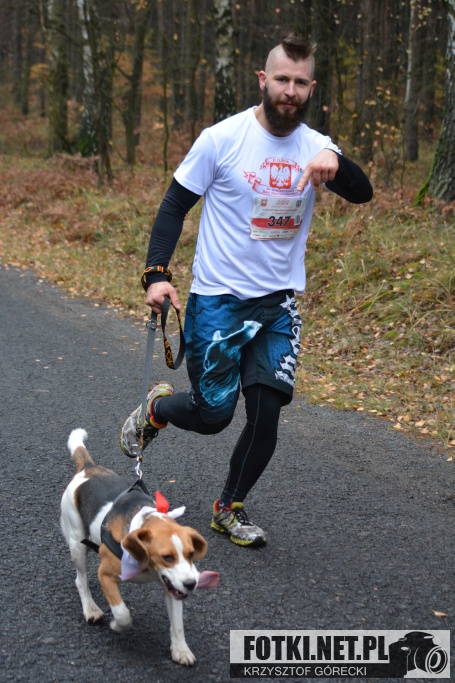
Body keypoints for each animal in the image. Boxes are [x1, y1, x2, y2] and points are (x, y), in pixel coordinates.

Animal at [60, 428, 219, 666]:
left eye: (191, 554)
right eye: (167, 557)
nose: (192, 584)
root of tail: (88, 468)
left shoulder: (172, 585)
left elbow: (178, 624)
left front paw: (181, 650)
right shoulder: (105, 575)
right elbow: (123, 613)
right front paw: (116, 625)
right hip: (77, 542)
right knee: (81, 580)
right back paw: (91, 609)